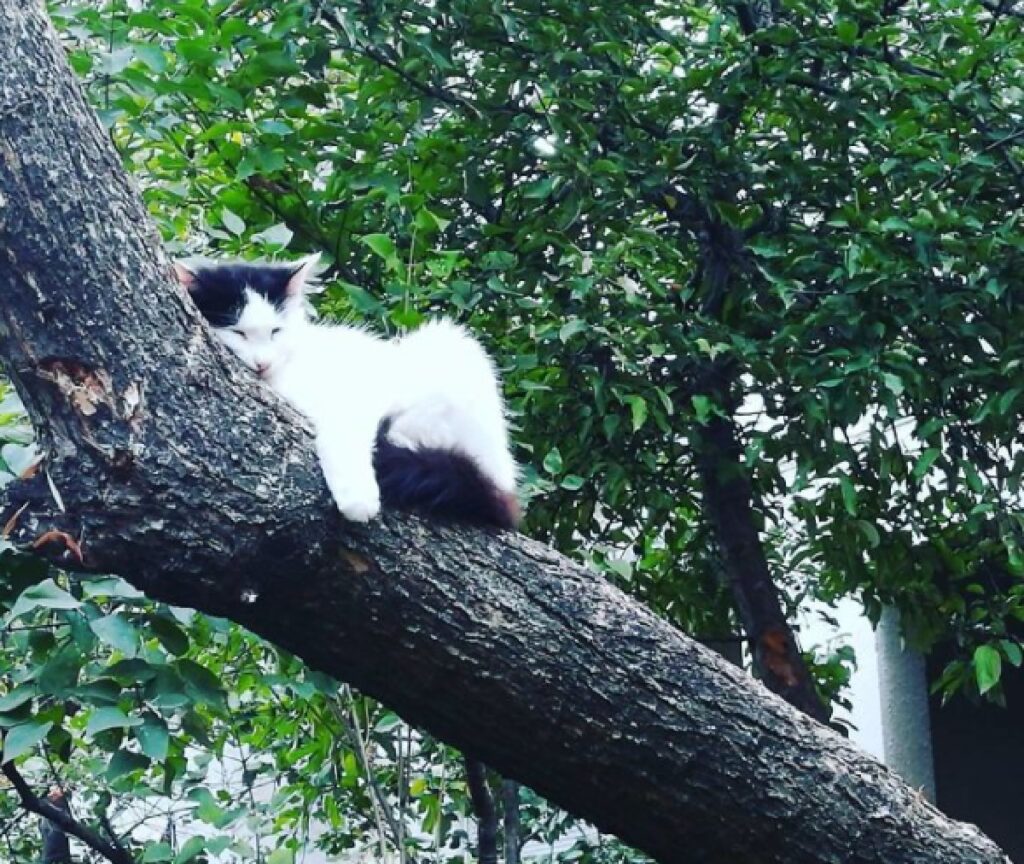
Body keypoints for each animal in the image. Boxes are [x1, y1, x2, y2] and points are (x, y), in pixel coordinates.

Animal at [173, 252, 520, 528]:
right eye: (238, 333)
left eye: (275, 332)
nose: (262, 363)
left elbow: (344, 432)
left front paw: (357, 500)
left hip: (450, 347)